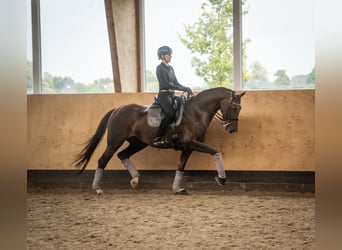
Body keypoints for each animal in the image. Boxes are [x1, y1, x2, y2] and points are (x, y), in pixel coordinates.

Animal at [74, 87, 246, 194]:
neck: (196, 113)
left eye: (240, 108)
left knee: (123, 155)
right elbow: (214, 151)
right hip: (114, 141)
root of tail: (117, 109)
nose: (232, 129)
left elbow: (181, 166)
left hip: (138, 143)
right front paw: (221, 179)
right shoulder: (190, 143)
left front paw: (177, 189)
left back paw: (135, 180)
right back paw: (97, 188)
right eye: (234, 108)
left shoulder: (188, 147)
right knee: (103, 160)